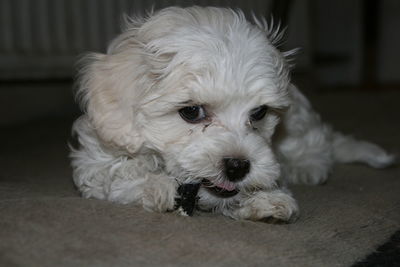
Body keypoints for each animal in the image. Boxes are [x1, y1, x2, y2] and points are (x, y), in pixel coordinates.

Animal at [70, 6, 396, 224]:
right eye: (191, 112)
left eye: (259, 112)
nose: (238, 167)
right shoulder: (96, 160)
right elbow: (115, 175)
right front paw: (156, 185)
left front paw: (268, 198)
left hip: (299, 116)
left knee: (318, 142)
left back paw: (308, 166)